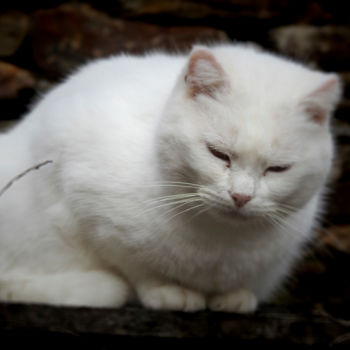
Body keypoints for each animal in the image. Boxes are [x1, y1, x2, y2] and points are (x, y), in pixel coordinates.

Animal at [0, 43, 340, 312]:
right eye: (218, 154)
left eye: (278, 169)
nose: (241, 197)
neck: (219, 242)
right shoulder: (90, 208)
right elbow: (137, 267)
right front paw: (169, 290)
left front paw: (234, 296)